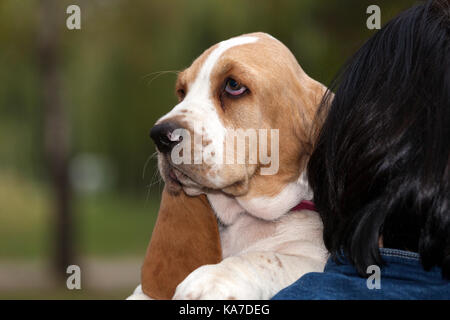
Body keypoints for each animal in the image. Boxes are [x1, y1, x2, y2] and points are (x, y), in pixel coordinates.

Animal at [128, 32, 328, 300]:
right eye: (182, 92)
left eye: (233, 86)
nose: (160, 136)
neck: (242, 216)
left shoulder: (313, 259)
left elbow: (267, 257)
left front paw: (212, 278)